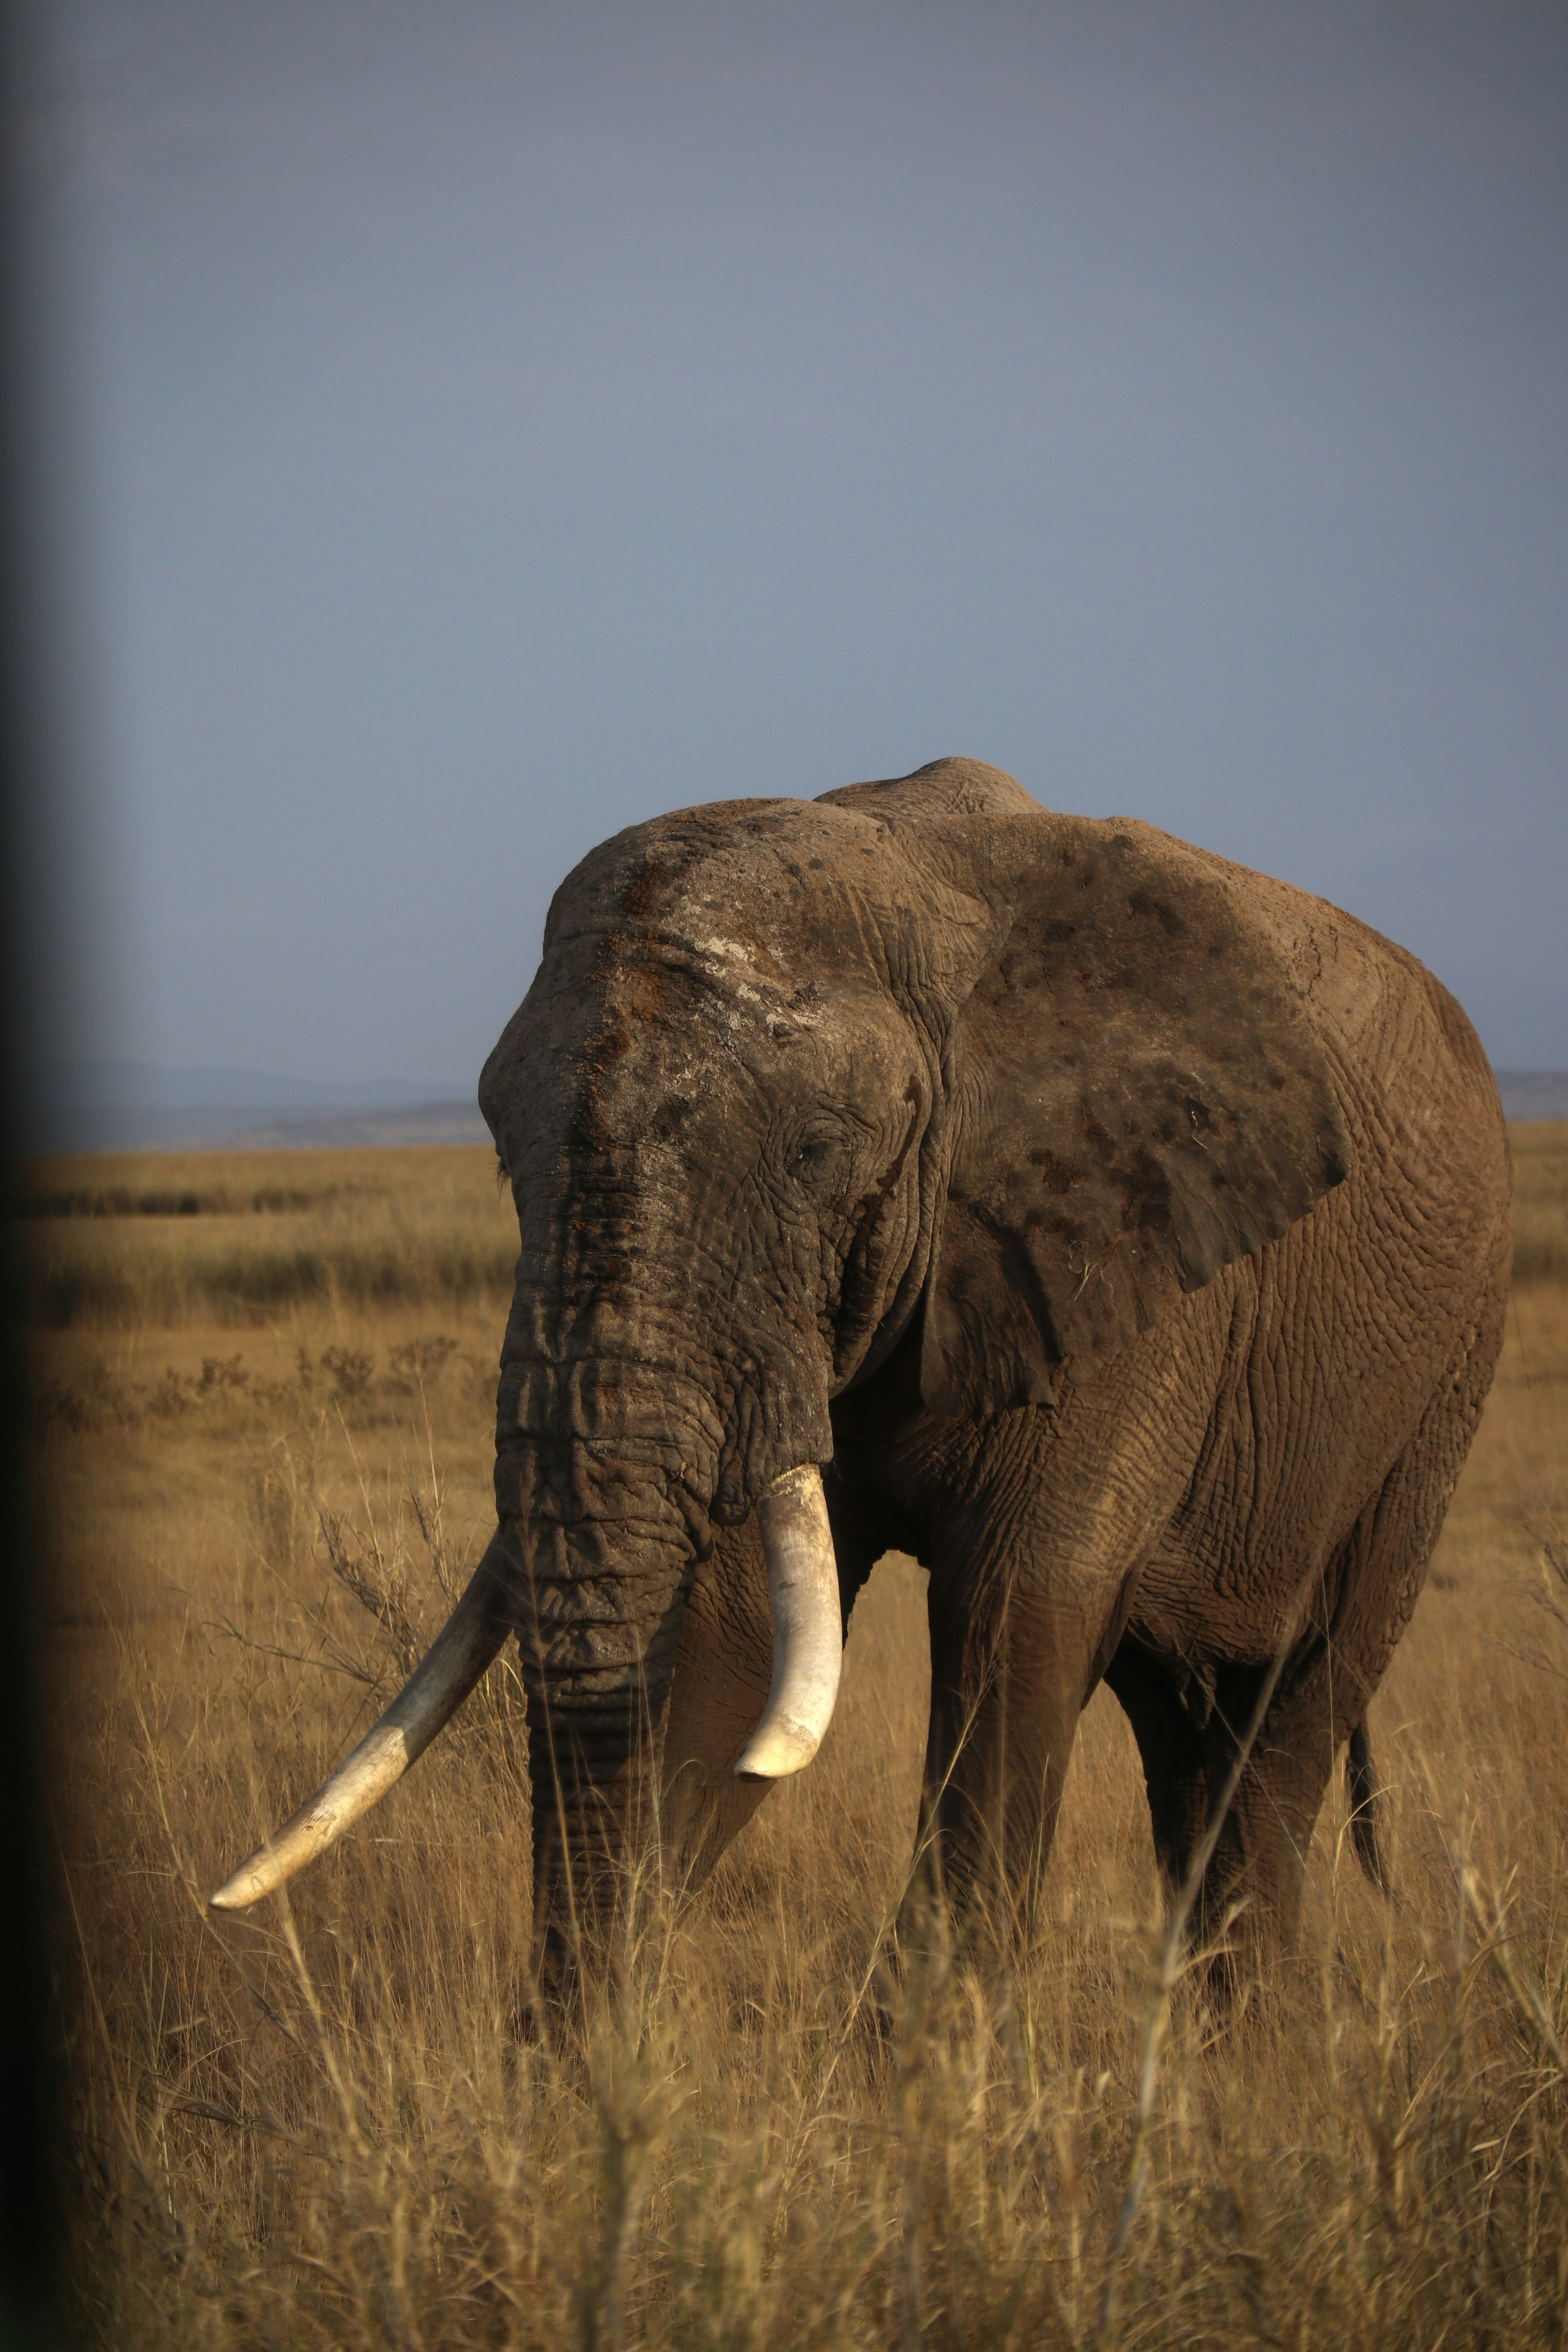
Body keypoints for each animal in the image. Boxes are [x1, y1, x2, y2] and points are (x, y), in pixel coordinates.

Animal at [211, 757, 1512, 1970]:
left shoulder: (1134, 1260)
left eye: (816, 1150)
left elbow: (1018, 1611)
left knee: (1284, 1729)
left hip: (1444, 1376)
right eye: (494, 1148)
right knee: (1186, 1741)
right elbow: (728, 1630)